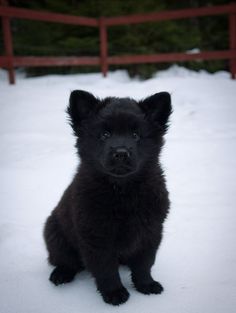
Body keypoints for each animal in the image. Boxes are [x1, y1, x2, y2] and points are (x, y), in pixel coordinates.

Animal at [43, 89, 171, 304]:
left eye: (135, 135)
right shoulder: (97, 236)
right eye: (105, 134)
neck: (122, 190)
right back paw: (60, 274)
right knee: (65, 260)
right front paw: (114, 293)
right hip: (56, 235)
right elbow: (106, 269)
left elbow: (144, 263)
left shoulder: (150, 231)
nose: (121, 153)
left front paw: (146, 285)